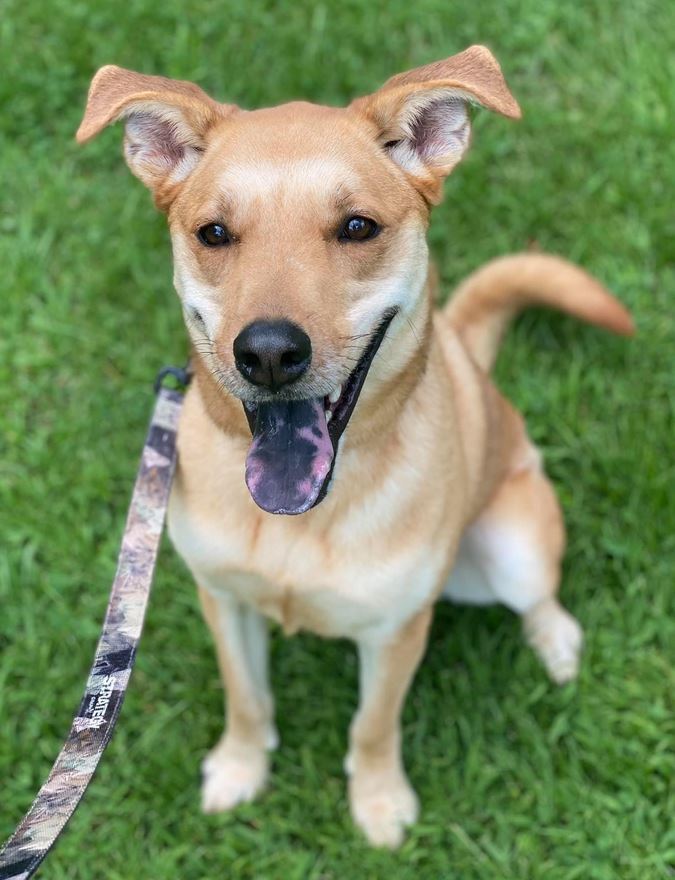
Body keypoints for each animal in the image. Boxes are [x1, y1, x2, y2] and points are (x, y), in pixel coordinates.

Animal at [78, 46, 632, 844]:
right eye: (213, 233)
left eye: (357, 227)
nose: (268, 353)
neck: (298, 521)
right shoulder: (224, 598)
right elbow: (245, 696)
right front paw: (240, 768)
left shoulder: (395, 629)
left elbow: (373, 724)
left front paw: (378, 803)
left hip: (510, 545)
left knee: (538, 596)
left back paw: (556, 643)